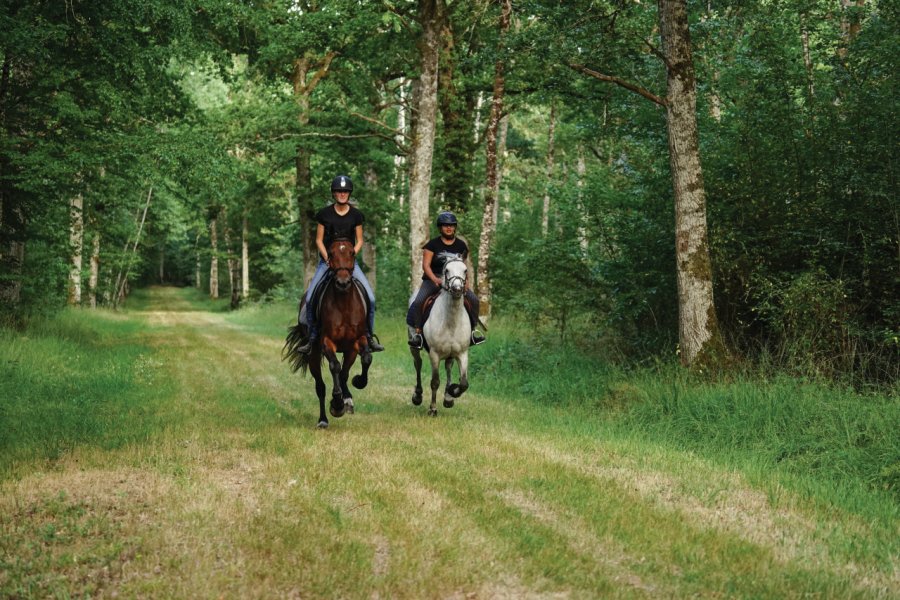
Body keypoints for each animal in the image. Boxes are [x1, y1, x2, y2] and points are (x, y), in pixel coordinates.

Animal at [282, 237, 372, 428]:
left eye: (352, 253)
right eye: (331, 253)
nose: (343, 283)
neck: (344, 304)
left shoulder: (356, 342)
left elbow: (362, 362)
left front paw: (356, 384)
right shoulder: (326, 342)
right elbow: (335, 367)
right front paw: (337, 404)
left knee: (343, 374)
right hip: (313, 355)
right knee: (320, 387)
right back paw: (323, 419)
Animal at [412, 255, 474, 414]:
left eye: (465, 270)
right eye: (447, 270)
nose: (457, 289)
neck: (451, 321)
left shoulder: (462, 353)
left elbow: (464, 383)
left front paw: (452, 392)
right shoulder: (434, 354)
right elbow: (435, 382)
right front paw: (433, 409)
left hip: (451, 354)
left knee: (448, 367)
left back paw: (448, 398)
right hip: (414, 347)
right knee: (418, 364)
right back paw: (417, 396)